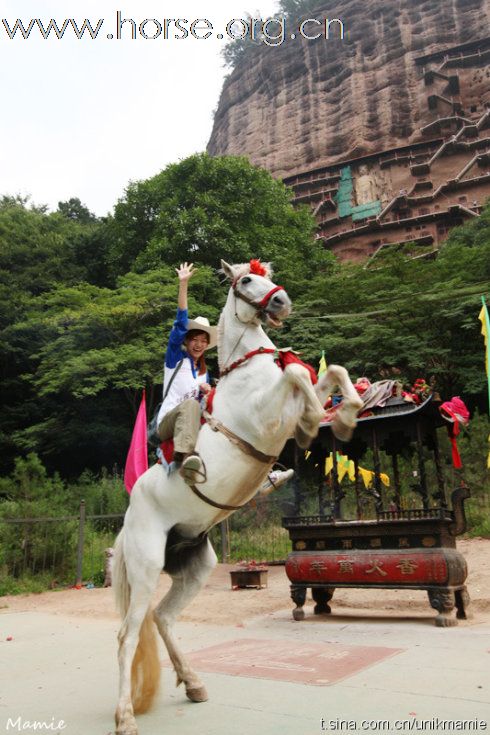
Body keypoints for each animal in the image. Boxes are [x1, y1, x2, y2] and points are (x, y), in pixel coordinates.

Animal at [113, 262, 362, 732]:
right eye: (246, 280)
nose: (281, 301)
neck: (249, 370)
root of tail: (127, 521)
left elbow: (330, 373)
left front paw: (345, 417)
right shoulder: (268, 417)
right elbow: (297, 375)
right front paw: (315, 423)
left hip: (195, 566)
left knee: (163, 617)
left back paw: (193, 684)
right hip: (146, 567)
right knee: (128, 634)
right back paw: (125, 717)